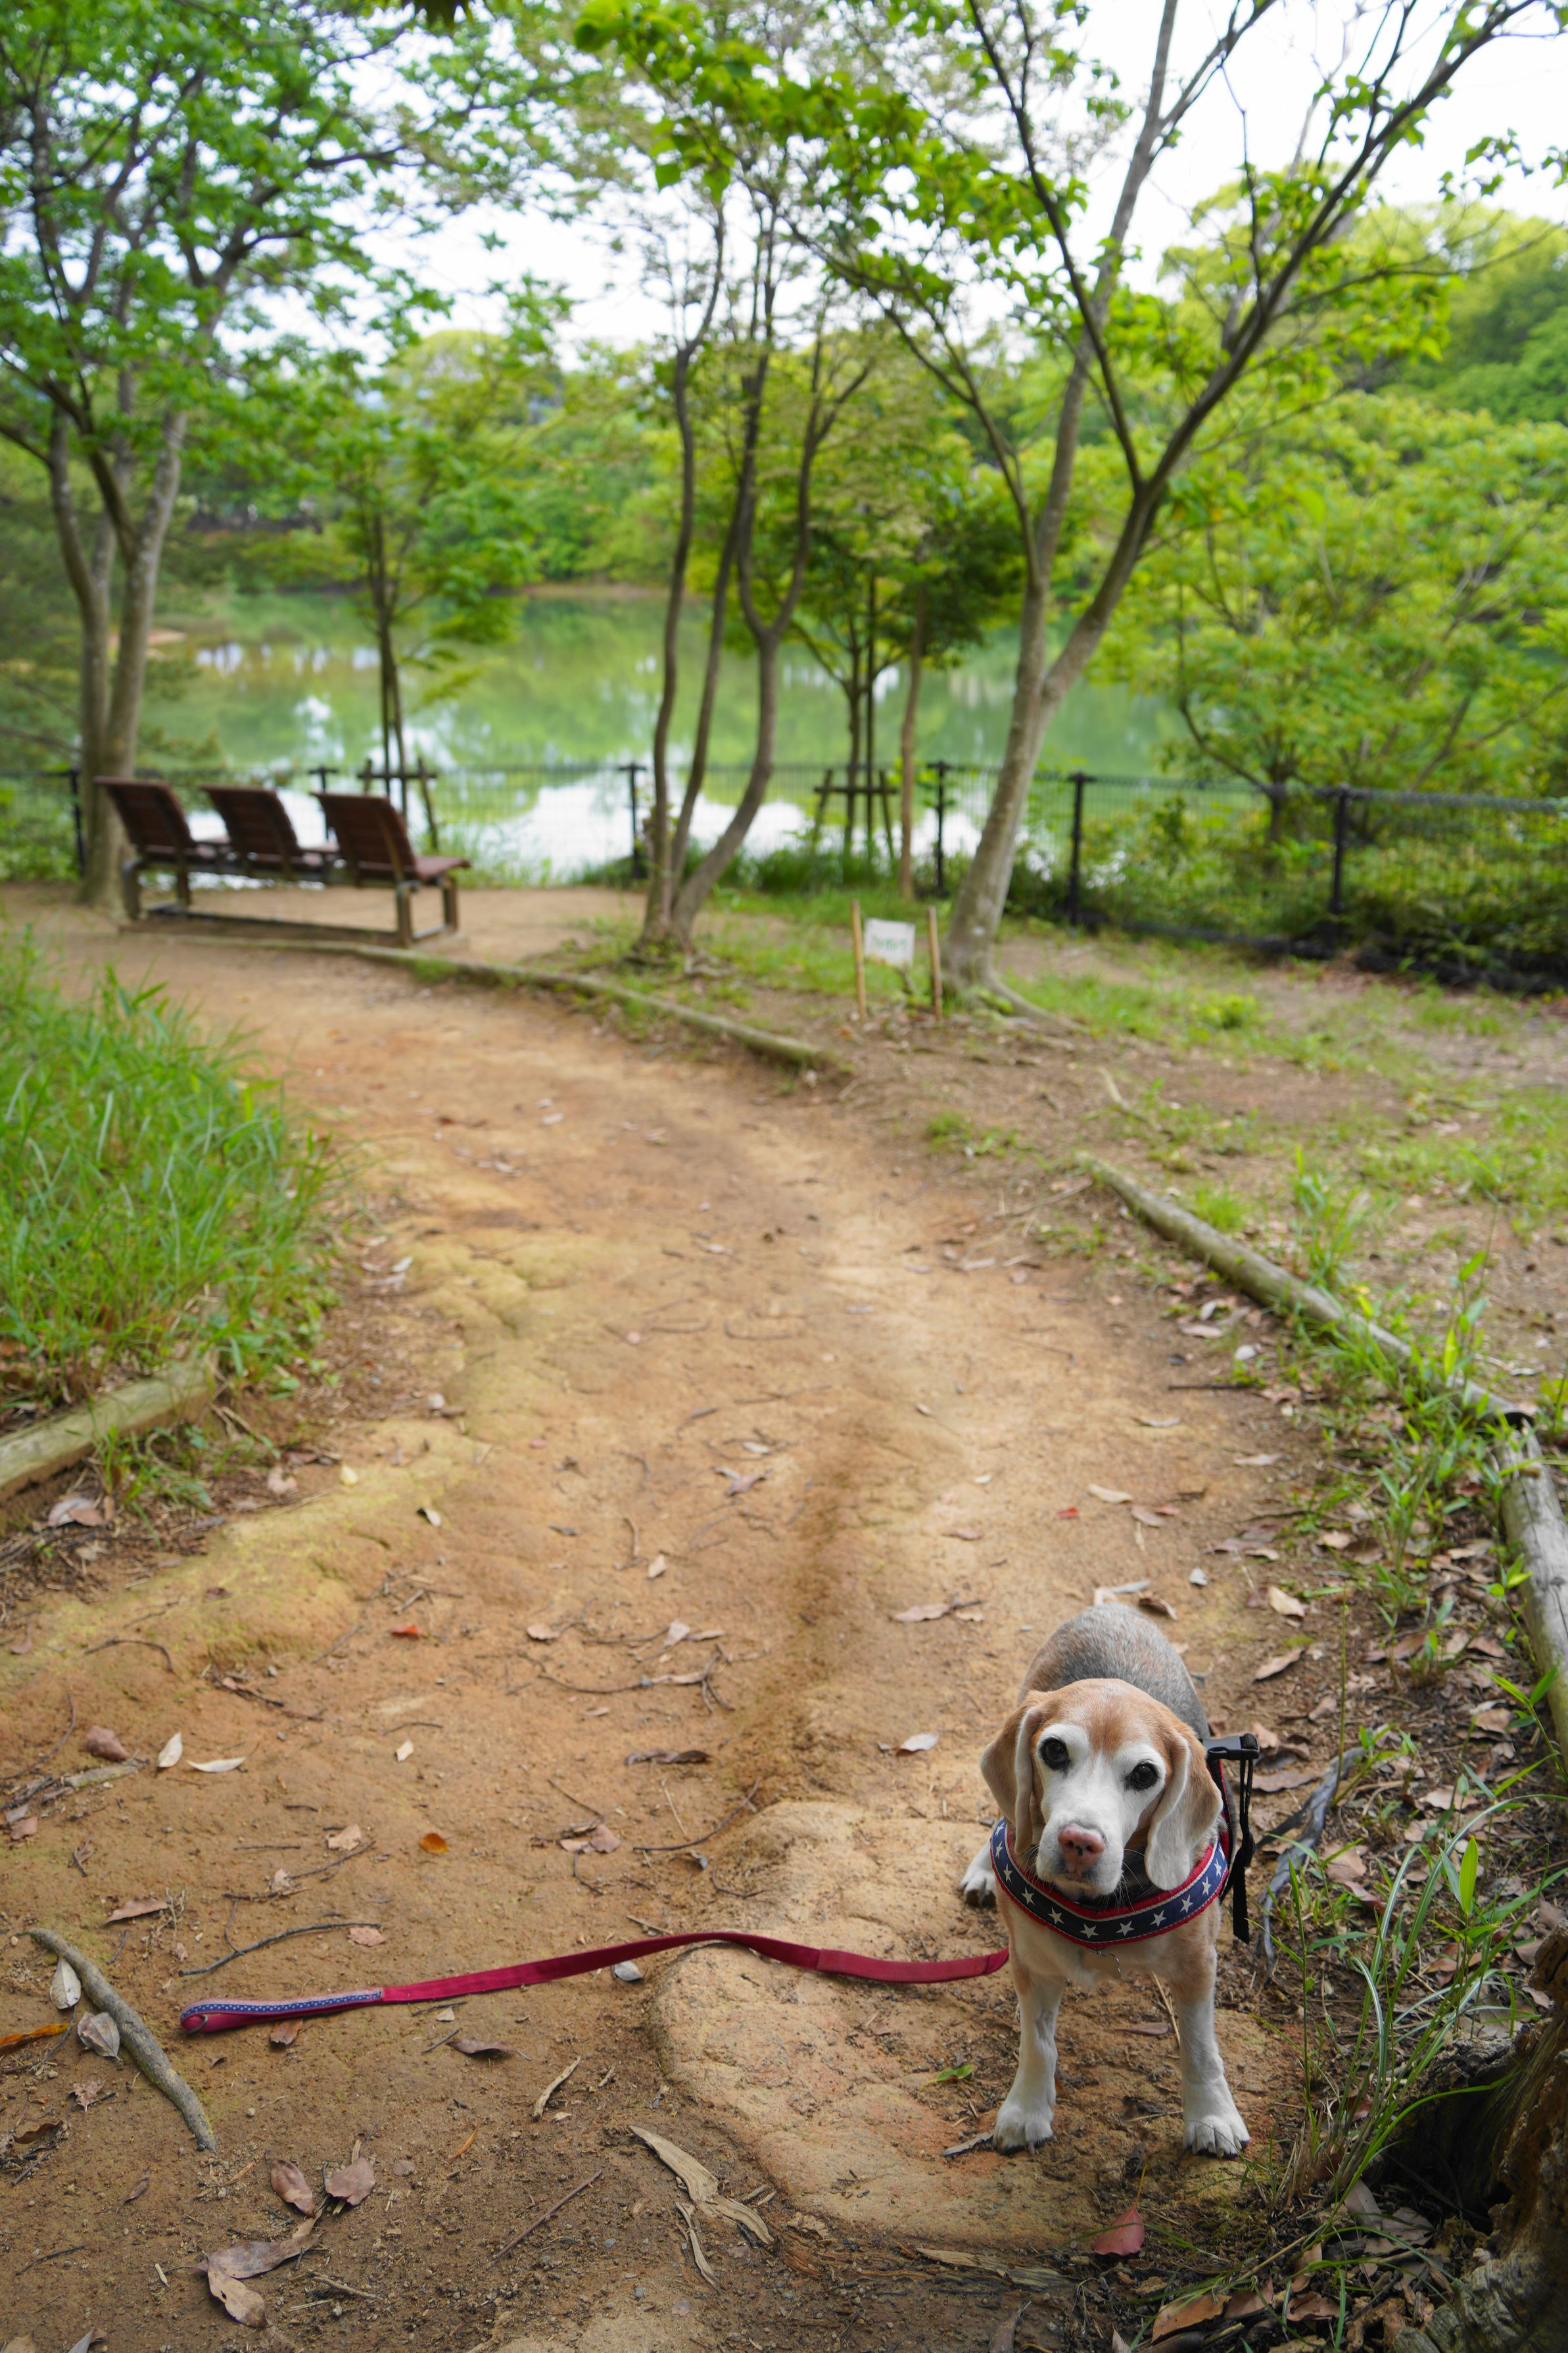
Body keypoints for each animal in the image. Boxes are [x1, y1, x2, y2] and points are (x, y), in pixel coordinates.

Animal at [959, 1604, 1249, 2158]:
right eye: (1053, 1752)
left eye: (1143, 1774)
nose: (1079, 1841)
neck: (1097, 1906)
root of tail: (1112, 1607)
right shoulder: (1032, 1964)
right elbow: (1037, 2044)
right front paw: (1026, 2110)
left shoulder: (1197, 1966)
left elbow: (1201, 2049)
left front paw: (1212, 2116)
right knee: (1007, 1817)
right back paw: (986, 1866)